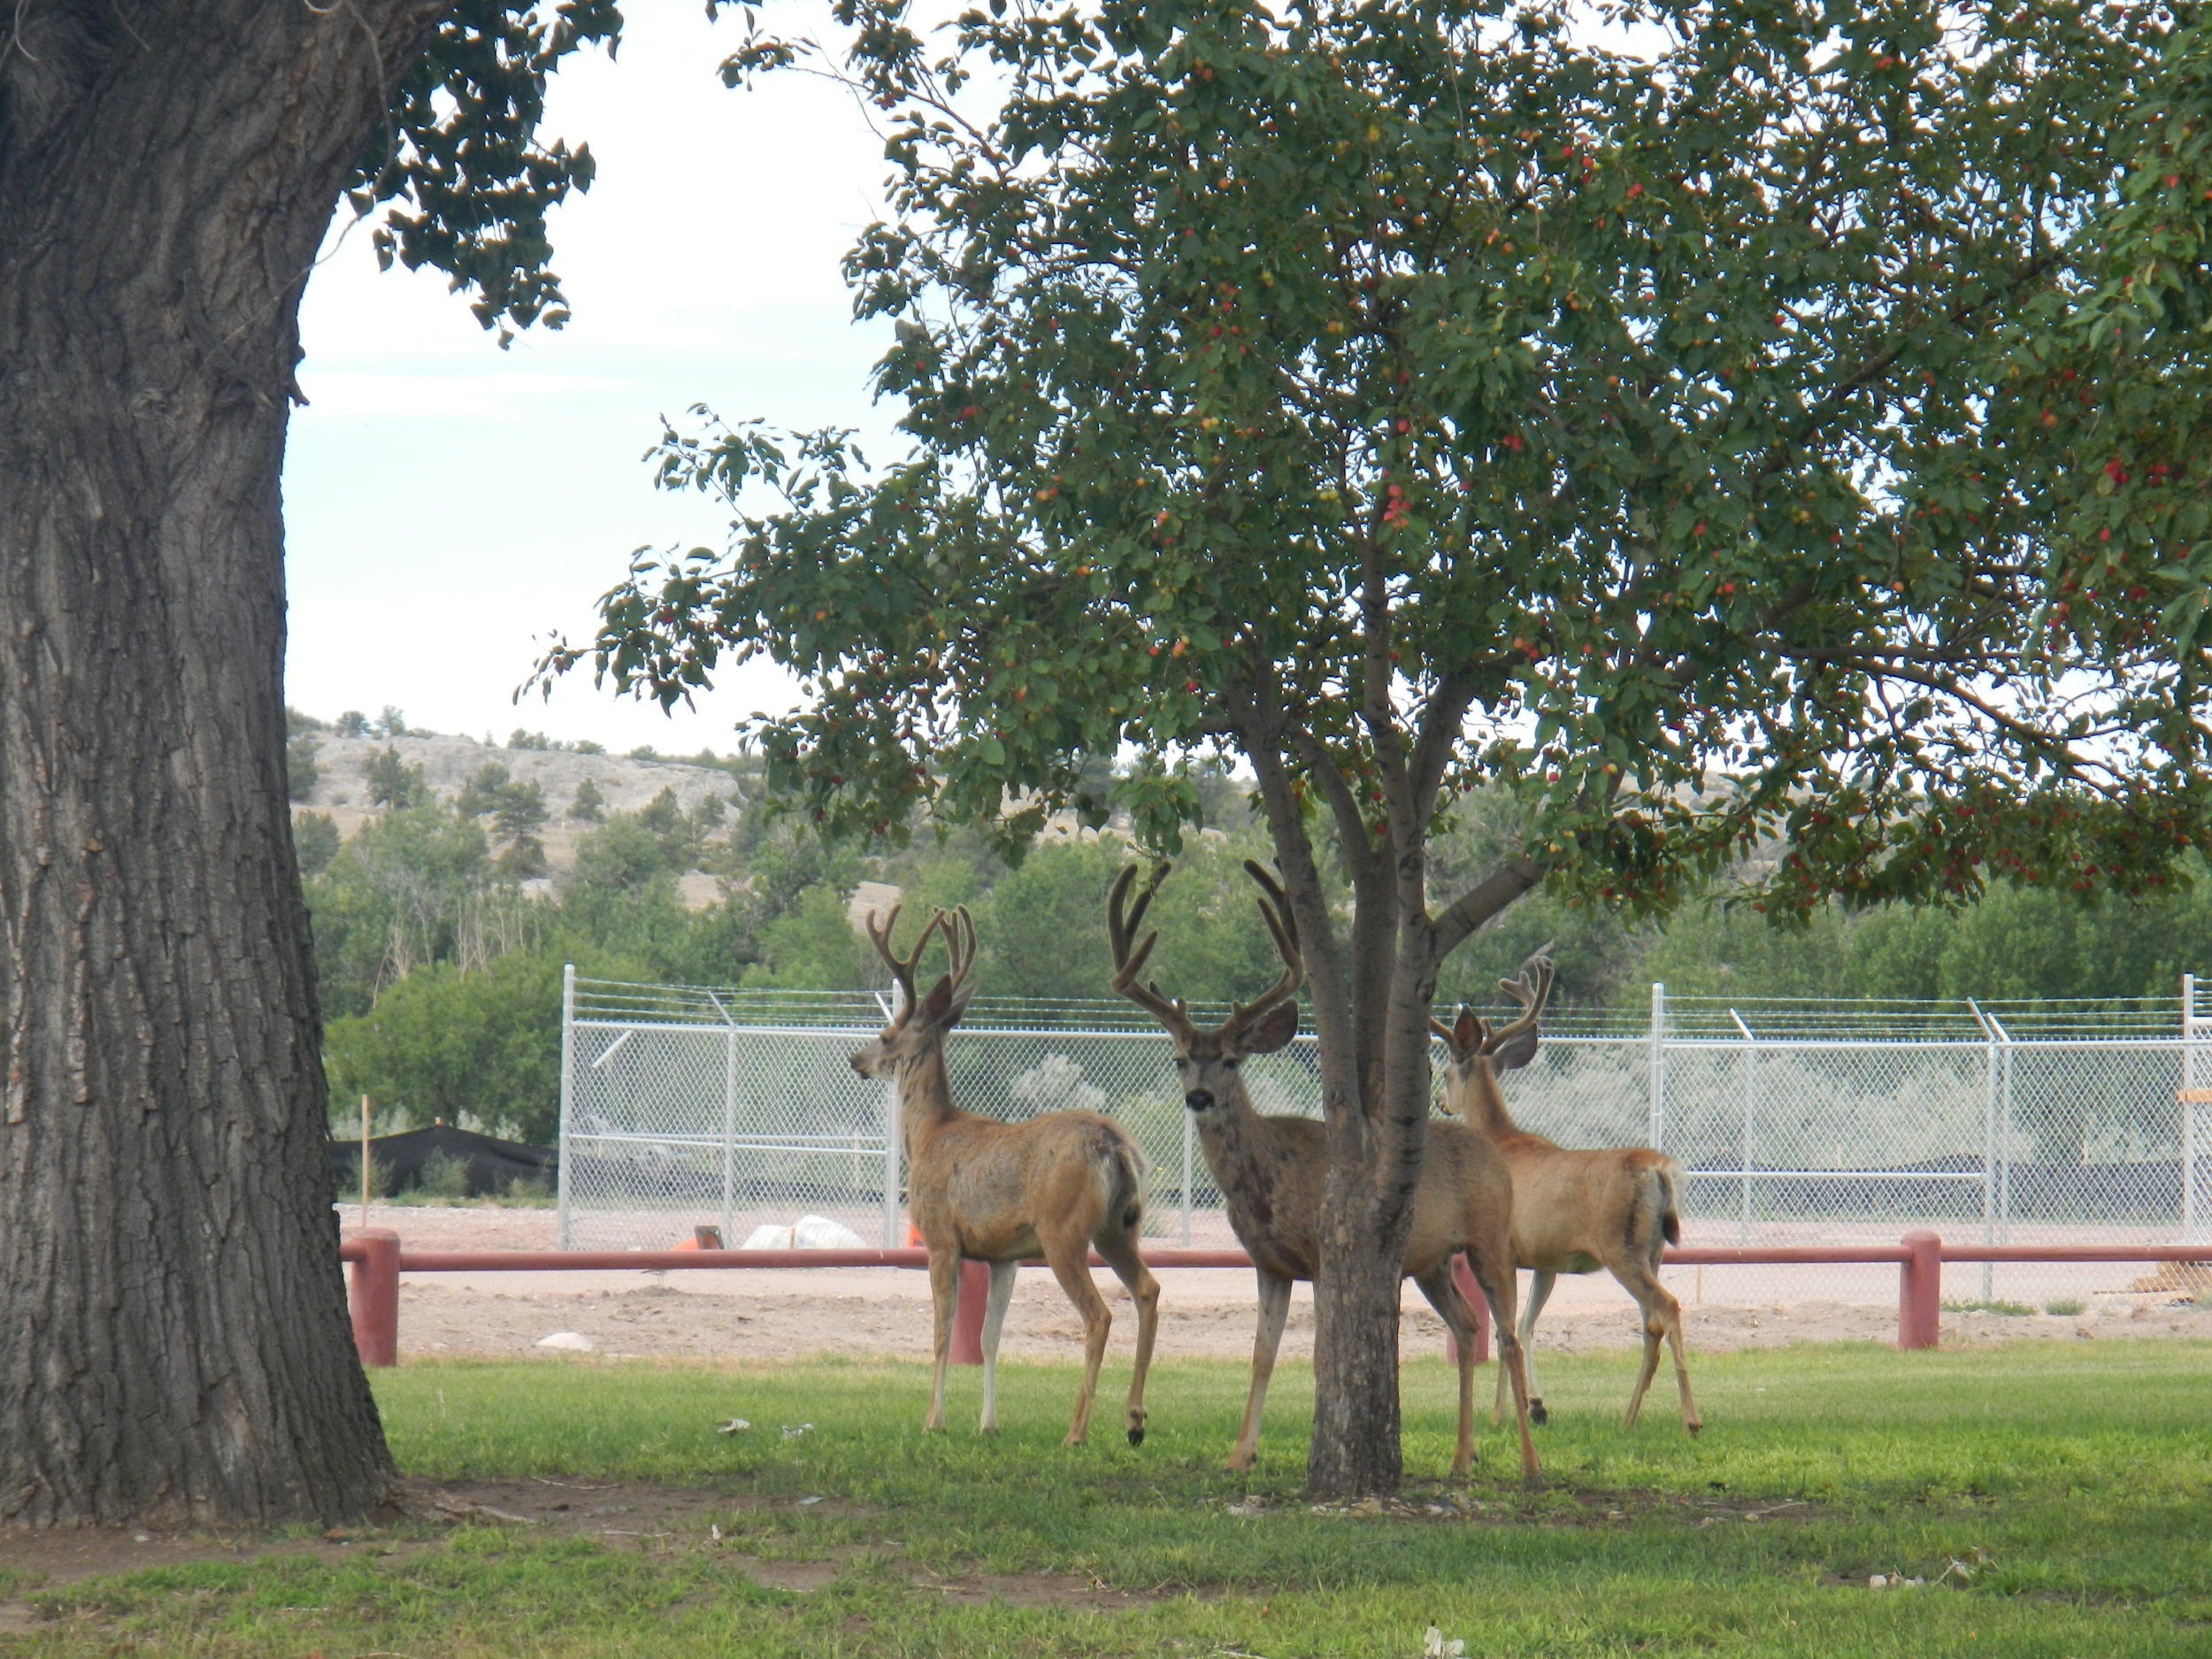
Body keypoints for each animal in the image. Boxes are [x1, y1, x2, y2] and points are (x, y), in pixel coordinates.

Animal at [845, 902, 1159, 1451]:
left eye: (885, 1036)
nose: (856, 1059)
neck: (930, 1135)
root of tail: (1115, 1145)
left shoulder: (941, 1239)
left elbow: (943, 1332)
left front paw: (934, 1420)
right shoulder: (1003, 1255)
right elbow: (990, 1338)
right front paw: (988, 1423)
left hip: (1063, 1230)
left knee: (1099, 1314)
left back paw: (1077, 1431)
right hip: (1119, 1227)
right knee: (1148, 1290)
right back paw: (1134, 1420)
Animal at [1106, 872, 1540, 1478]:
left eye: (1232, 1061)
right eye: (1180, 1060)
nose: (1199, 1096)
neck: (1264, 1183)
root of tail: (1492, 1151)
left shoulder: (1321, 1251)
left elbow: (1317, 1355)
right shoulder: (1268, 1261)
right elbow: (1261, 1354)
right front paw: (1240, 1455)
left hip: (1489, 1237)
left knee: (1507, 1335)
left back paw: (1528, 1460)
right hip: (1429, 1260)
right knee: (1467, 1326)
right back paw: (1461, 1456)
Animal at [1425, 969, 1699, 1433]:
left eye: (1444, 1071)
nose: (1439, 1102)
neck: (1502, 1140)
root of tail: (1661, 1170)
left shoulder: (1502, 1248)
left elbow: (1505, 1328)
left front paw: (1500, 1414)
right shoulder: (1546, 1260)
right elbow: (1526, 1324)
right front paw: (1536, 1405)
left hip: (1619, 1246)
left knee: (1667, 1307)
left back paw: (1690, 1419)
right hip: (1655, 1249)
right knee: (1651, 1323)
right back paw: (1628, 1417)